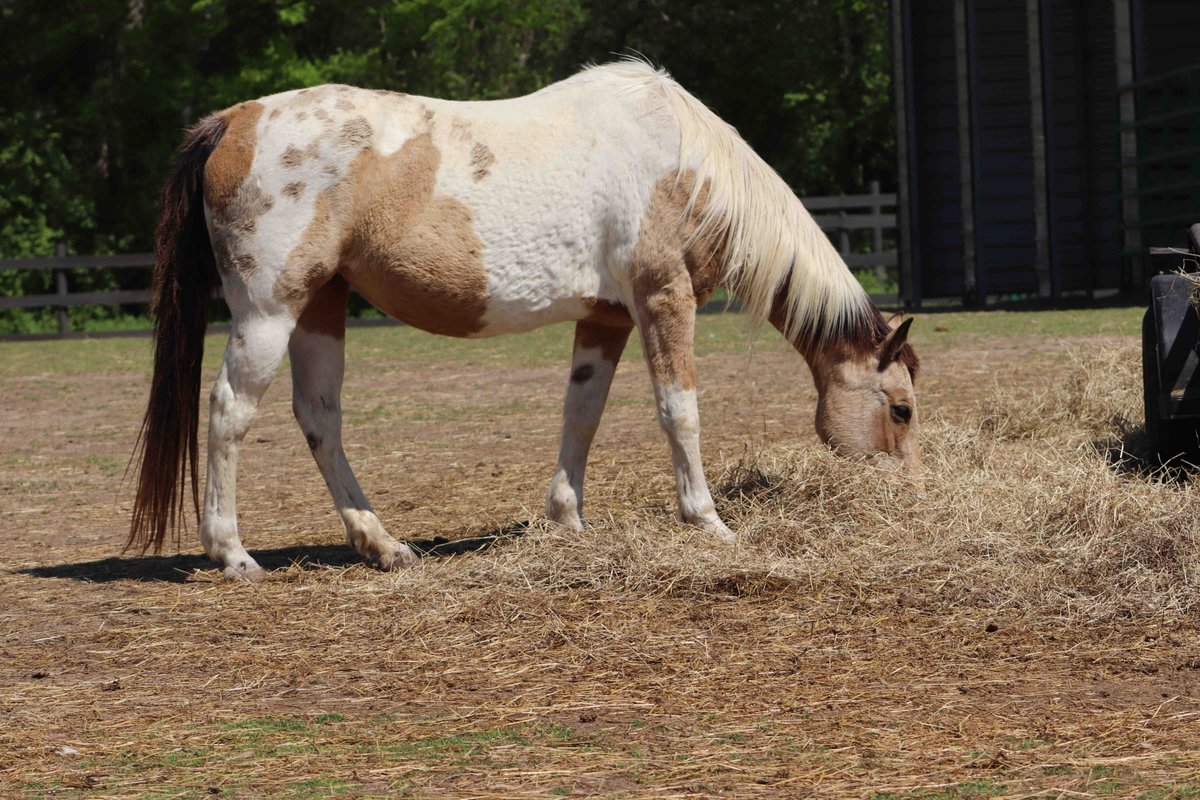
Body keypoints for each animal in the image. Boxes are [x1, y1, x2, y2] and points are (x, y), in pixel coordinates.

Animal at [129, 59, 916, 578]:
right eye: (901, 409)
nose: (905, 495)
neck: (683, 165)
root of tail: (233, 120)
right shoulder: (663, 300)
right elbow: (679, 410)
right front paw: (708, 520)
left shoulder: (607, 320)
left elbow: (582, 414)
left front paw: (567, 518)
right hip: (269, 311)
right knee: (230, 411)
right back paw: (232, 553)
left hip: (321, 307)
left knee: (320, 416)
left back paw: (383, 545)